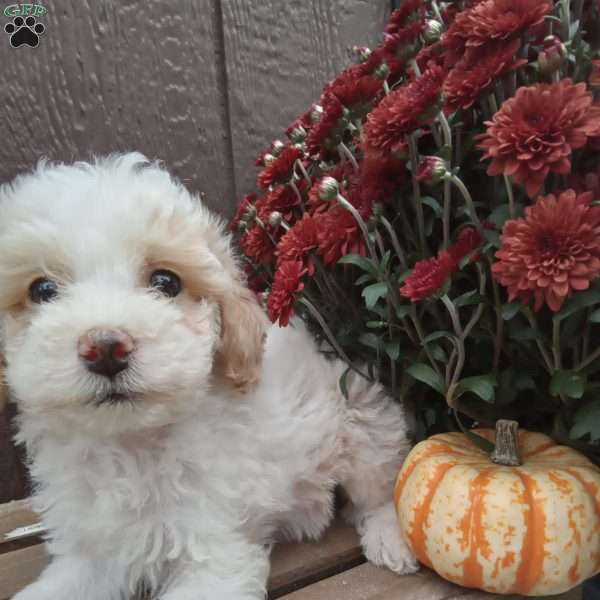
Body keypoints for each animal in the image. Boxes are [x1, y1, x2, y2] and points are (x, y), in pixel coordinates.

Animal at [0, 155, 414, 600]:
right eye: (42, 290)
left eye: (166, 282)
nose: (106, 348)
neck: (132, 443)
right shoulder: (93, 551)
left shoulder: (215, 550)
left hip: (361, 417)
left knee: (378, 490)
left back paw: (389, 539)